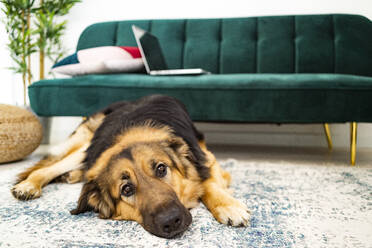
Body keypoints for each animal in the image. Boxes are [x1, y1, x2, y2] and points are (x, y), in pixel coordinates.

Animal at [11, 95, 250, 238]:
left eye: (161, 169)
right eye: (126, 189)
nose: (171, 221)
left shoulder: (207, 159)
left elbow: (207, 182)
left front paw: (228, 206)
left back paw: (71, 176)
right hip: (86, 150)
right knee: (48, 168)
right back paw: (29, 185)